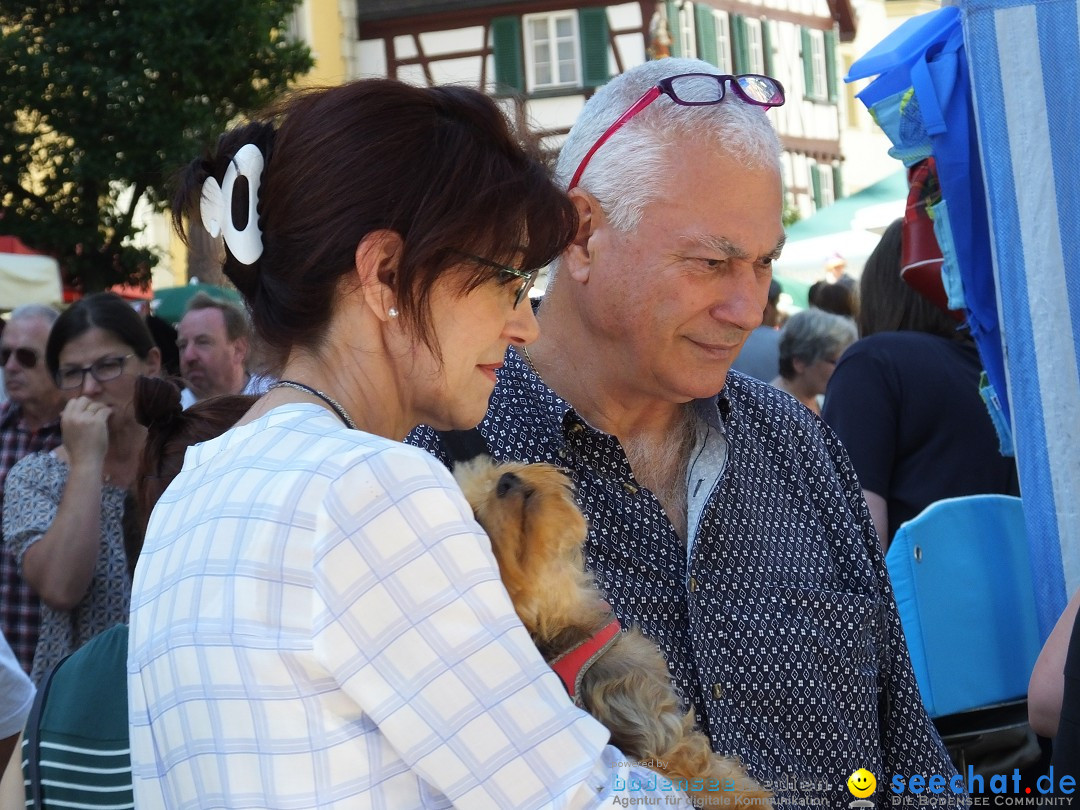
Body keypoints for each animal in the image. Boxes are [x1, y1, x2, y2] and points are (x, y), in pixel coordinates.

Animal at [451, 460, 773, 807]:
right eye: (475, 517)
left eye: (494, 470)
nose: (507, 481)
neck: (562, 621)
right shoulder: (654, 730)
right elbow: (716, 778)